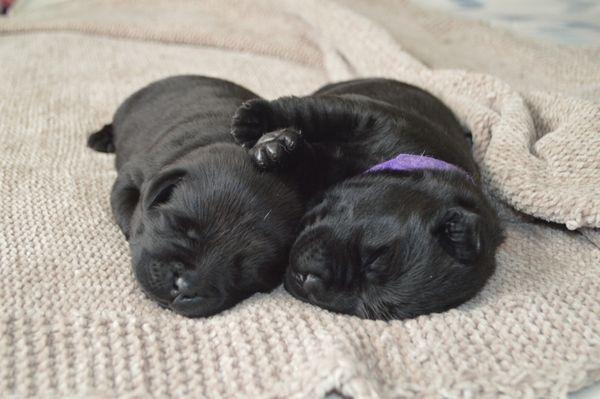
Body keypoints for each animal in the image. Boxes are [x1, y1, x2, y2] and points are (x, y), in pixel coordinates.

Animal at [88, 76, 304, 318]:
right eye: (180, 226)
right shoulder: (131, 176)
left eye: (245, 273)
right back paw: (101, 138)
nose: (185, 286)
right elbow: (129, 211)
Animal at [232, 78, 504, 322]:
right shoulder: (369, 116)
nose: (309, 283)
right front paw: (255, 122)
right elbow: (312, 112)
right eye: (375, 257)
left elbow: (308, 164)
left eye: (366, 309)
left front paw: (278, 150)